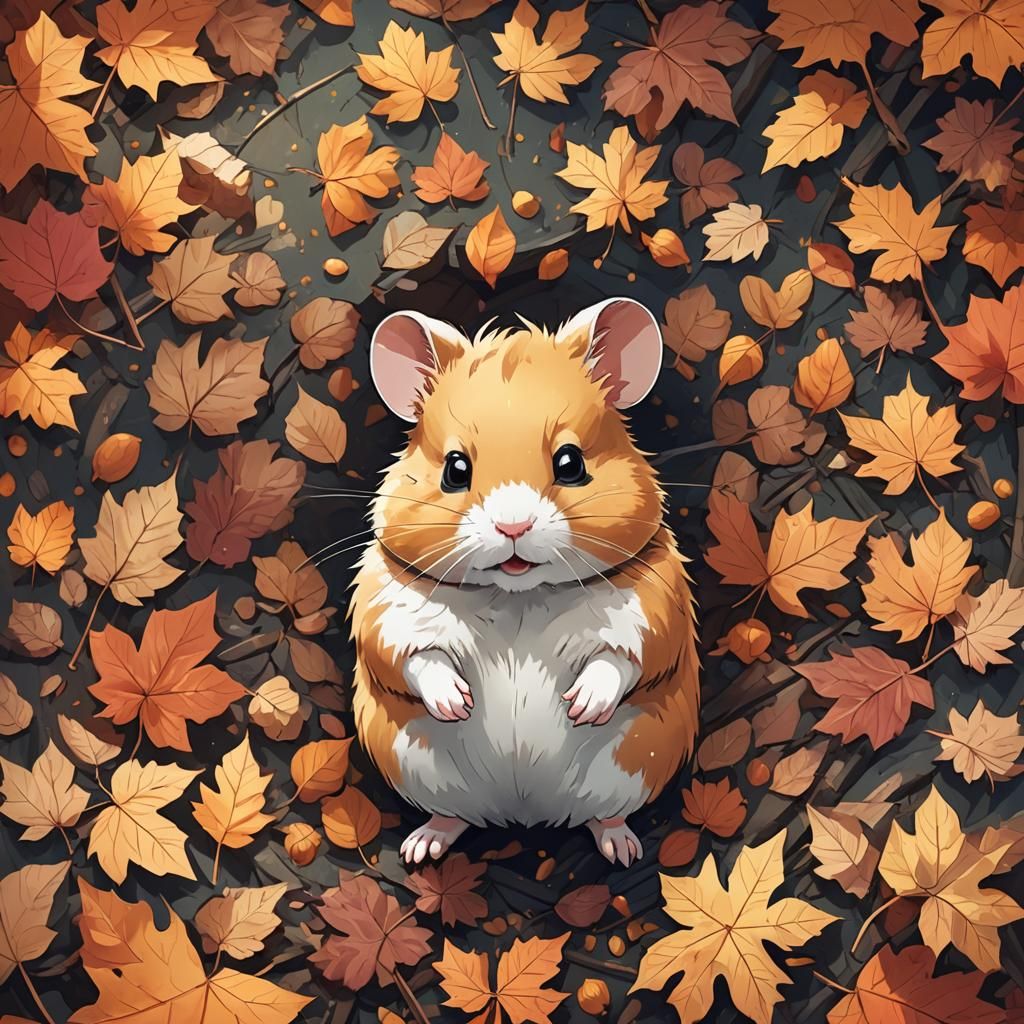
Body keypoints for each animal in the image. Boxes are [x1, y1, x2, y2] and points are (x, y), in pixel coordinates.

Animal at [349, 298, 699, 867]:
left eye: (571, 463)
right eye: (454, 469)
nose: (513, 527)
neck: (519, 597)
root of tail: (524, 811)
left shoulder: (653, 614)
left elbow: (620, 660)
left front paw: (580, 707)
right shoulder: (388, 617)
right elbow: (418, 660)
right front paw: (457, 704)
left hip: (632, 770)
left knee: (605, 816)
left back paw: (623, 851)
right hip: (422, 774)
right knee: (452, 817)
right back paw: (420, 849)